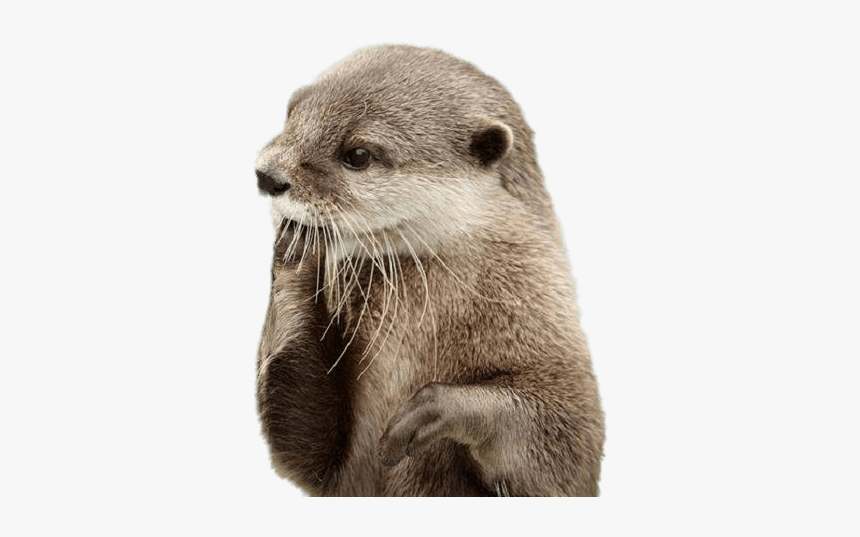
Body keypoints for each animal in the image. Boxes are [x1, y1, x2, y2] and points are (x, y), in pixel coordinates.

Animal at [254, 45, 604, 496]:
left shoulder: (548, 321)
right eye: (291, 115)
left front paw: (433, 410)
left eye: (358, 154)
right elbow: (305, 450)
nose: (267, 175)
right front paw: (296, 248)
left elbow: (570, 449)